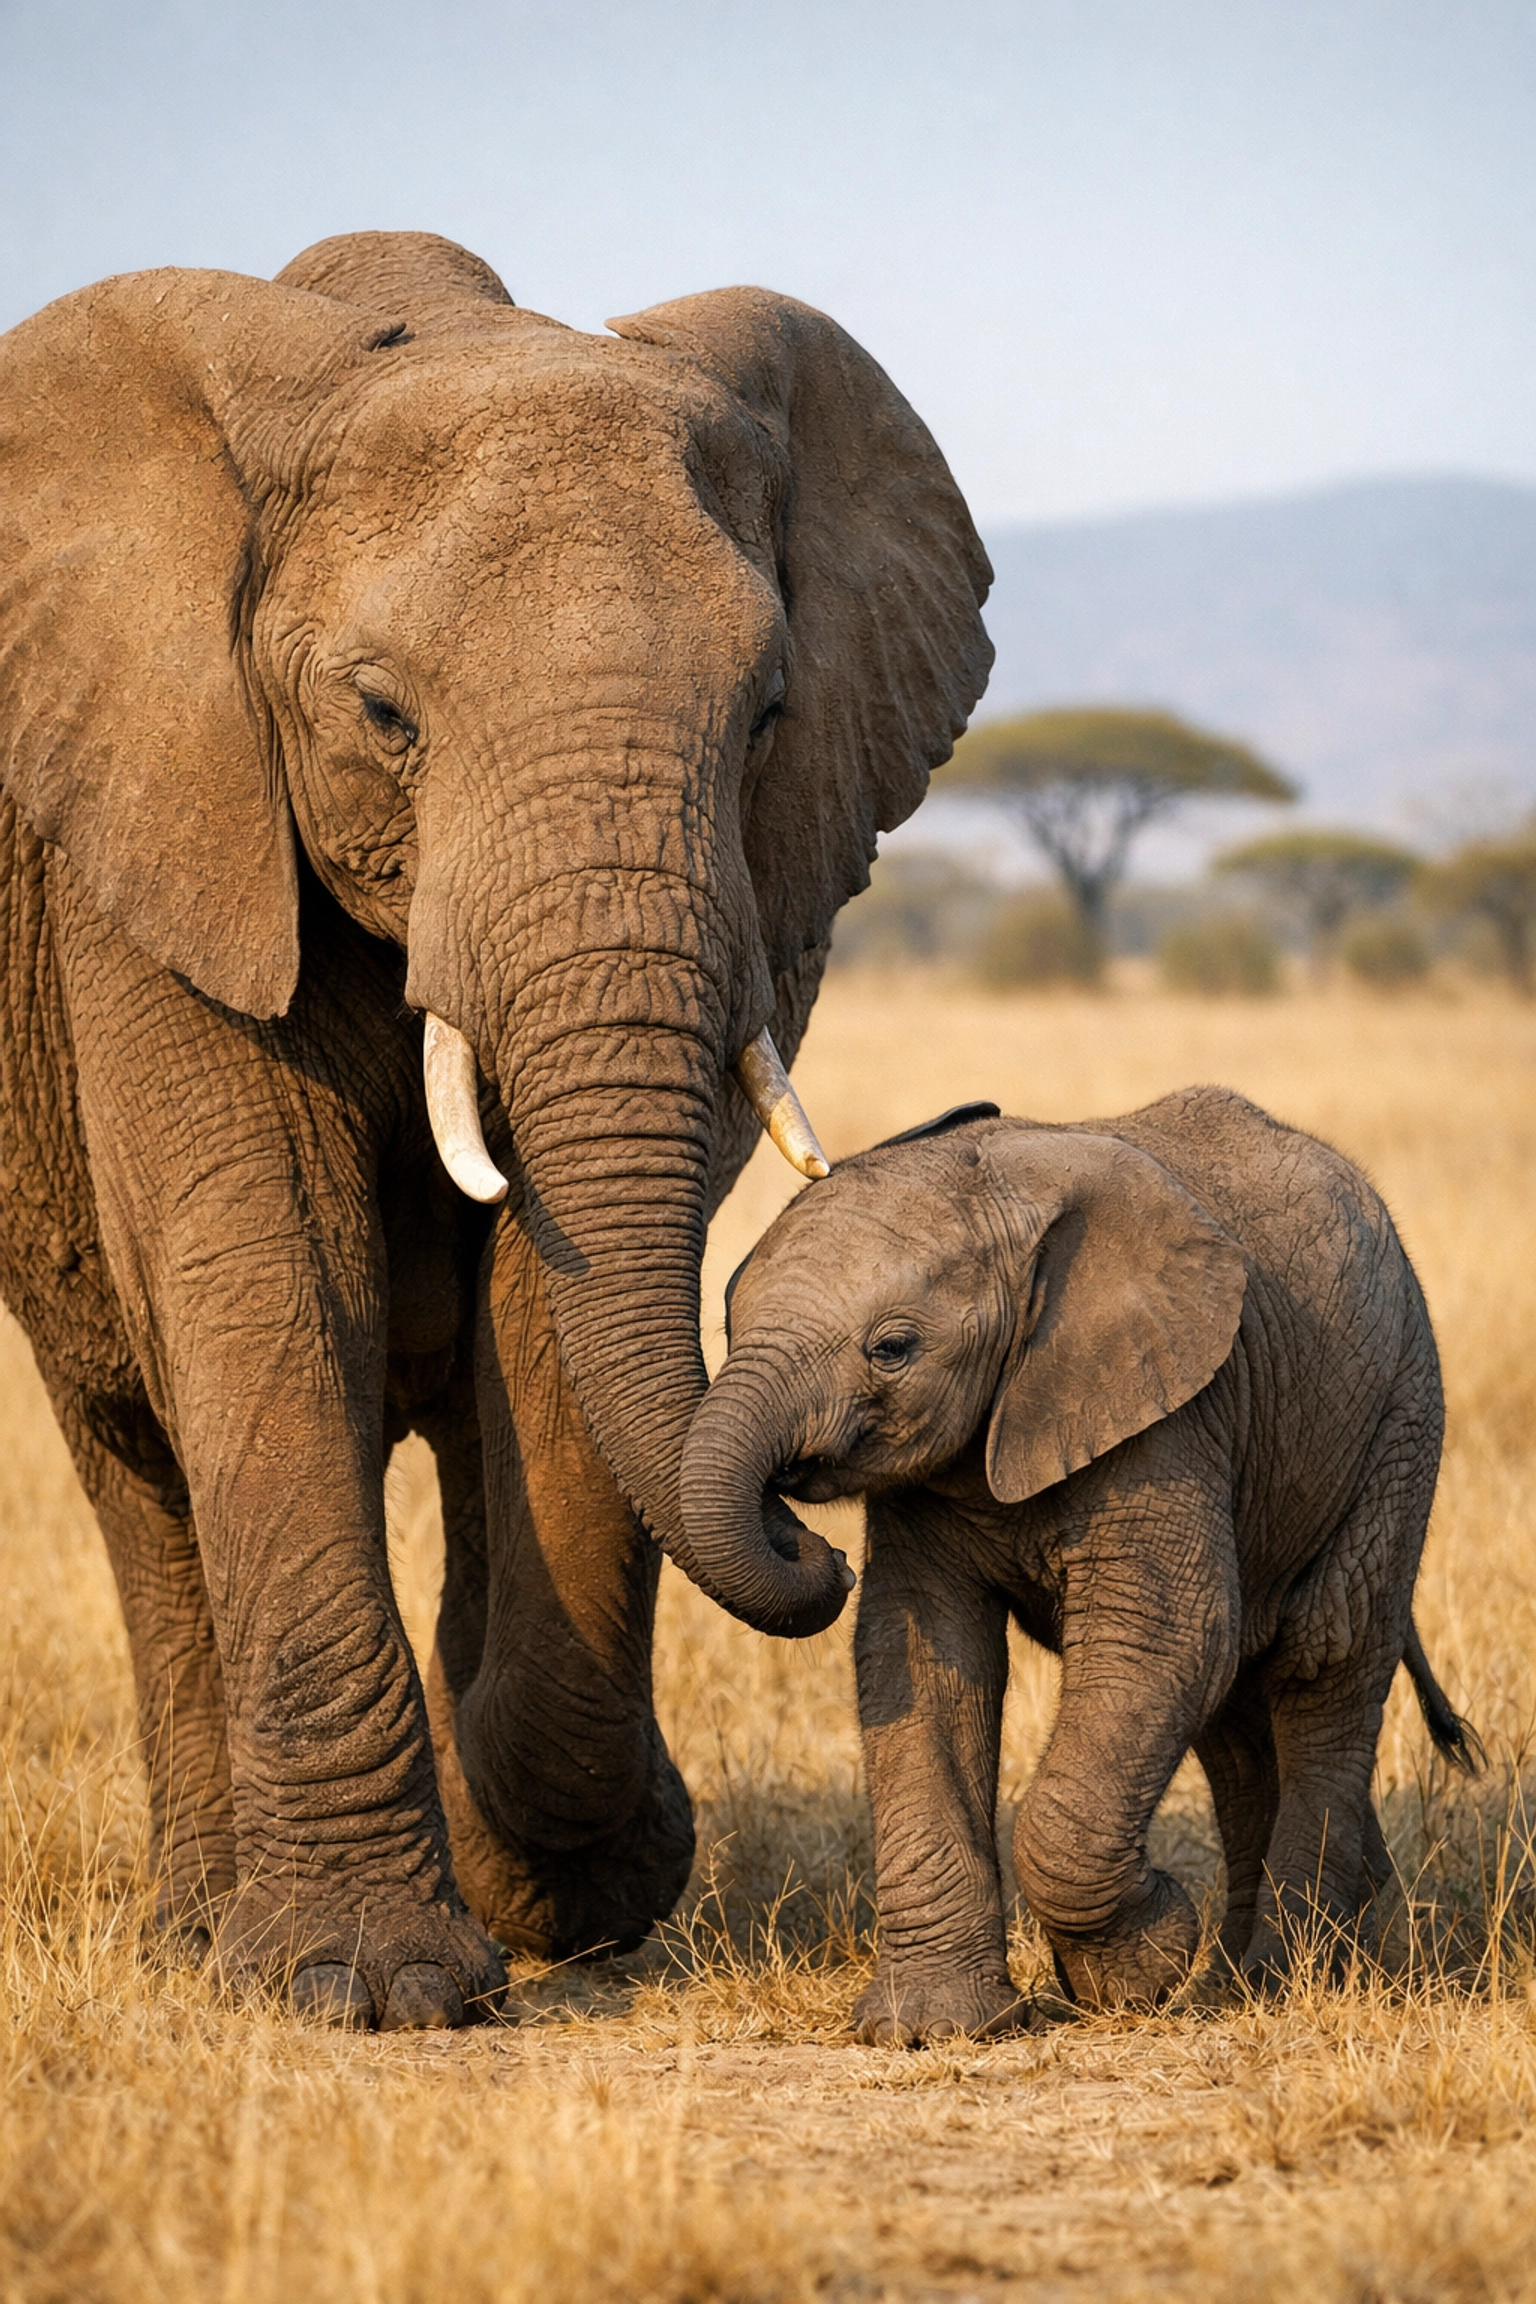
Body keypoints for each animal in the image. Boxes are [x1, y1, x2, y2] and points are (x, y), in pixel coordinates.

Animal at [0, 231, 992, 2027]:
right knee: (137, 1462)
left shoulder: (773, 880)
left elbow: (549, 1310)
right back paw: (198, 1927)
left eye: (769, 716)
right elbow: (267, 1261)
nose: (817, 1545)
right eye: (382, 713)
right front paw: (364, 1985)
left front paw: (562, 1887)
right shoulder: (158, 834)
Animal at [684, 1088, 1478, 2042]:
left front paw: (1137, 1965)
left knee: (1322, 1658)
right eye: (728, 1322)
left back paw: (1285, 1981)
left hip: (1400, 1414)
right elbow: (921, 1657)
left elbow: (1159, 1638)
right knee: (1234, 1713)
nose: (823, 1552)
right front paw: (928, 2030)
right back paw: (1247, 1978)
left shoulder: (1170, 1411)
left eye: (892, 1348)